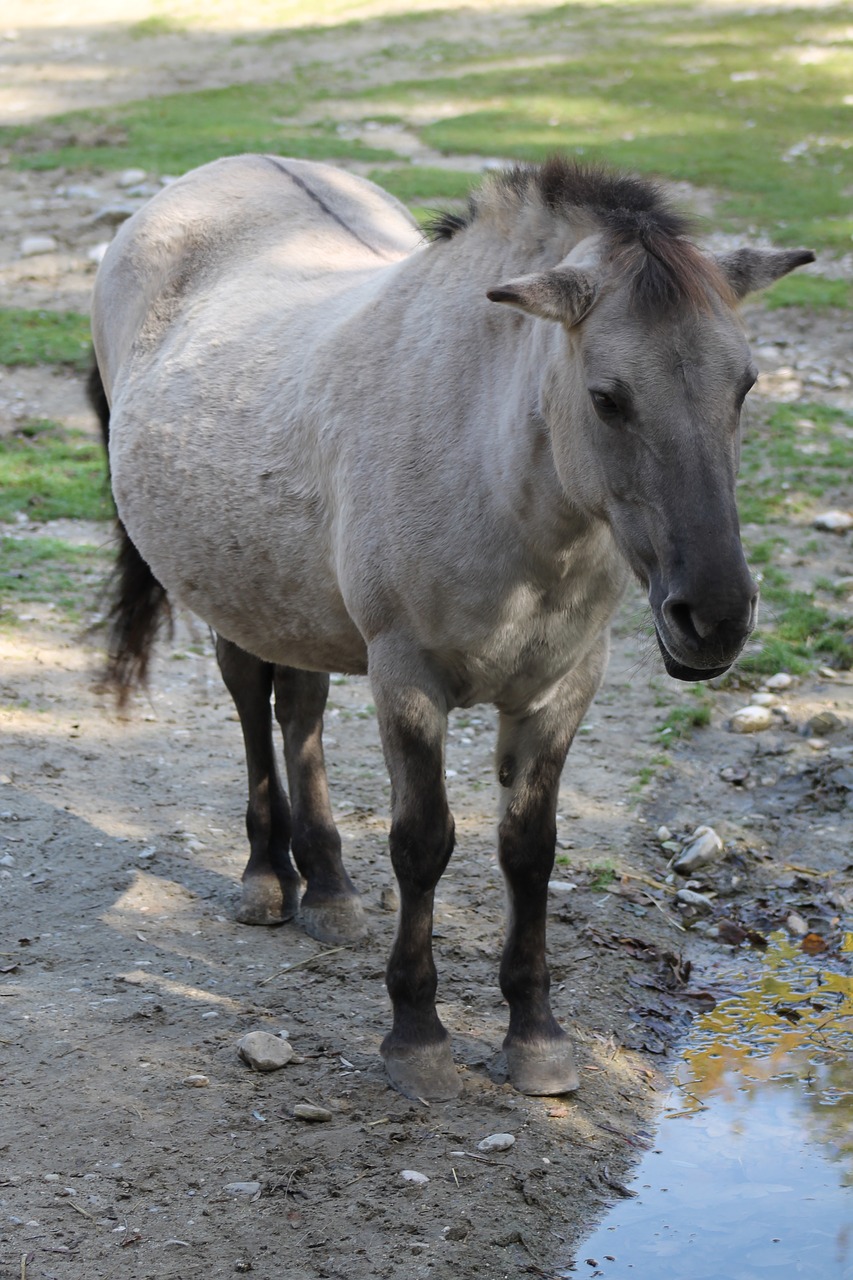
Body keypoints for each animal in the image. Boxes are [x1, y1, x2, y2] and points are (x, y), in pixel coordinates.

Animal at [87, 154, 809, 1100]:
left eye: (744, 387)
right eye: (607, 399)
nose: (714, 617)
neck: (494, 471)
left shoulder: (561, 688)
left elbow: (528, 852)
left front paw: (535, 1037)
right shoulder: (407, 680)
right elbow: (423, 844)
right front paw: (418, 1036)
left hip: (293, 597)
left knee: (300, 709)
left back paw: (328, 888)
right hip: (231, 592)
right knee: (252, 701)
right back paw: (267, 878)